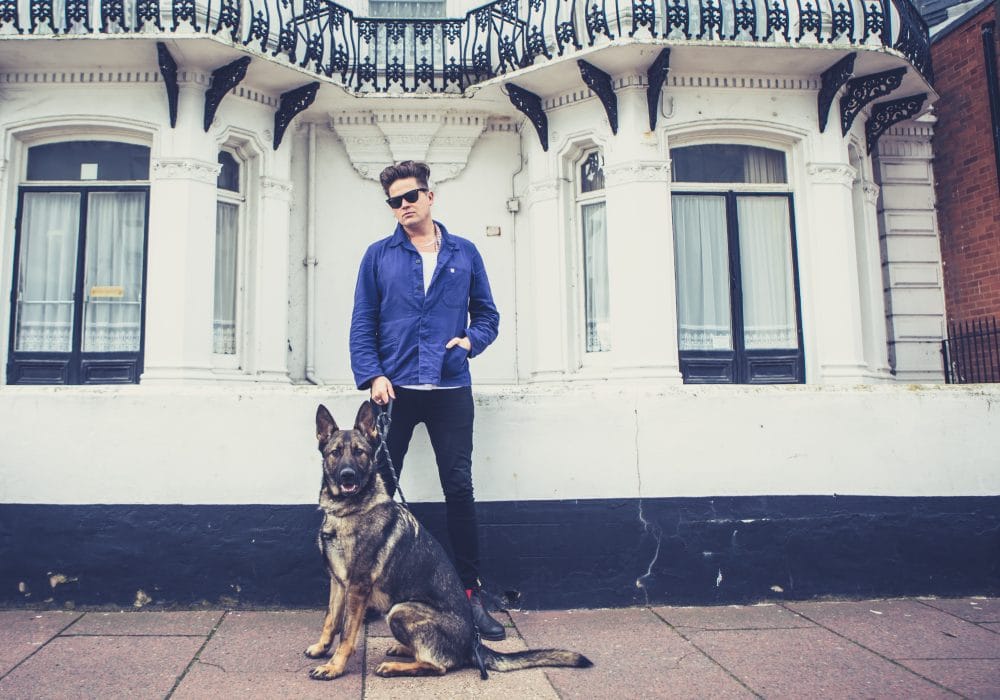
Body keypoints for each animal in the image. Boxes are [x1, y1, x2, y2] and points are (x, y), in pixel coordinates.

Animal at [304, 402, 592, 680]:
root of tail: (473, 645)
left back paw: (394, 667)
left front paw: (334, 666)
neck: (348, 510)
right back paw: (402, 648)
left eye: (360, 452)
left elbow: (346, 634)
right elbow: (331, 620)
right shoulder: (338, 583)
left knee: (437, 665)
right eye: (335, 453)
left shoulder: (357, 587)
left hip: (400, 610)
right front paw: (321, 649)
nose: (347, 475)